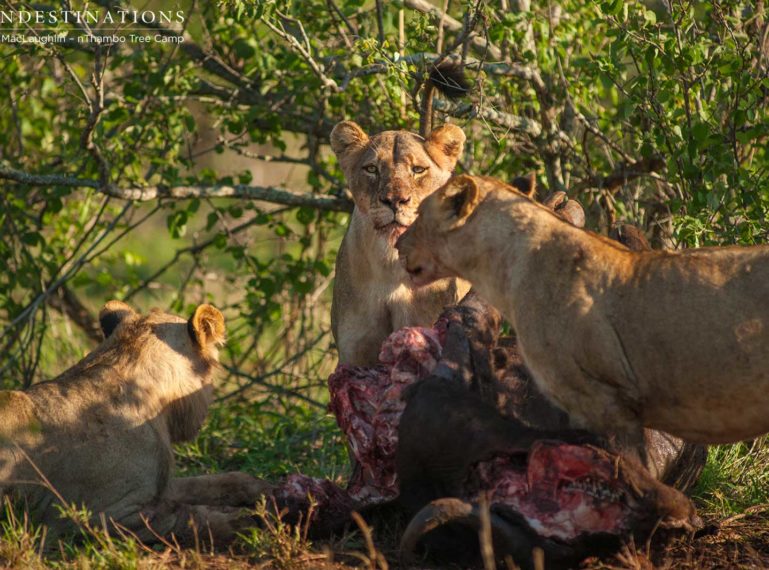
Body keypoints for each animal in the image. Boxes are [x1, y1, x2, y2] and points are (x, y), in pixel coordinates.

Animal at [0, 300, 270, 544]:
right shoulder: (102, 515)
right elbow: (186, 516)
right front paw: (244, 520)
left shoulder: (159, 486)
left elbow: (213, 482)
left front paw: (261, 488)